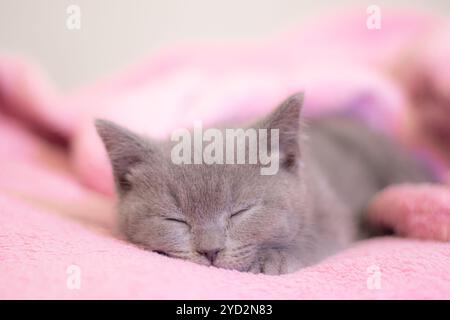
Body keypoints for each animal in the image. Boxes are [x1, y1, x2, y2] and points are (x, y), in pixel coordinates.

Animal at [95, 93, 432, 276]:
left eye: (240, 212)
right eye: (175, 219)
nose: (210, 251)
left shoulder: (330, 211)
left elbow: (319, 239)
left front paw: (276, 259)